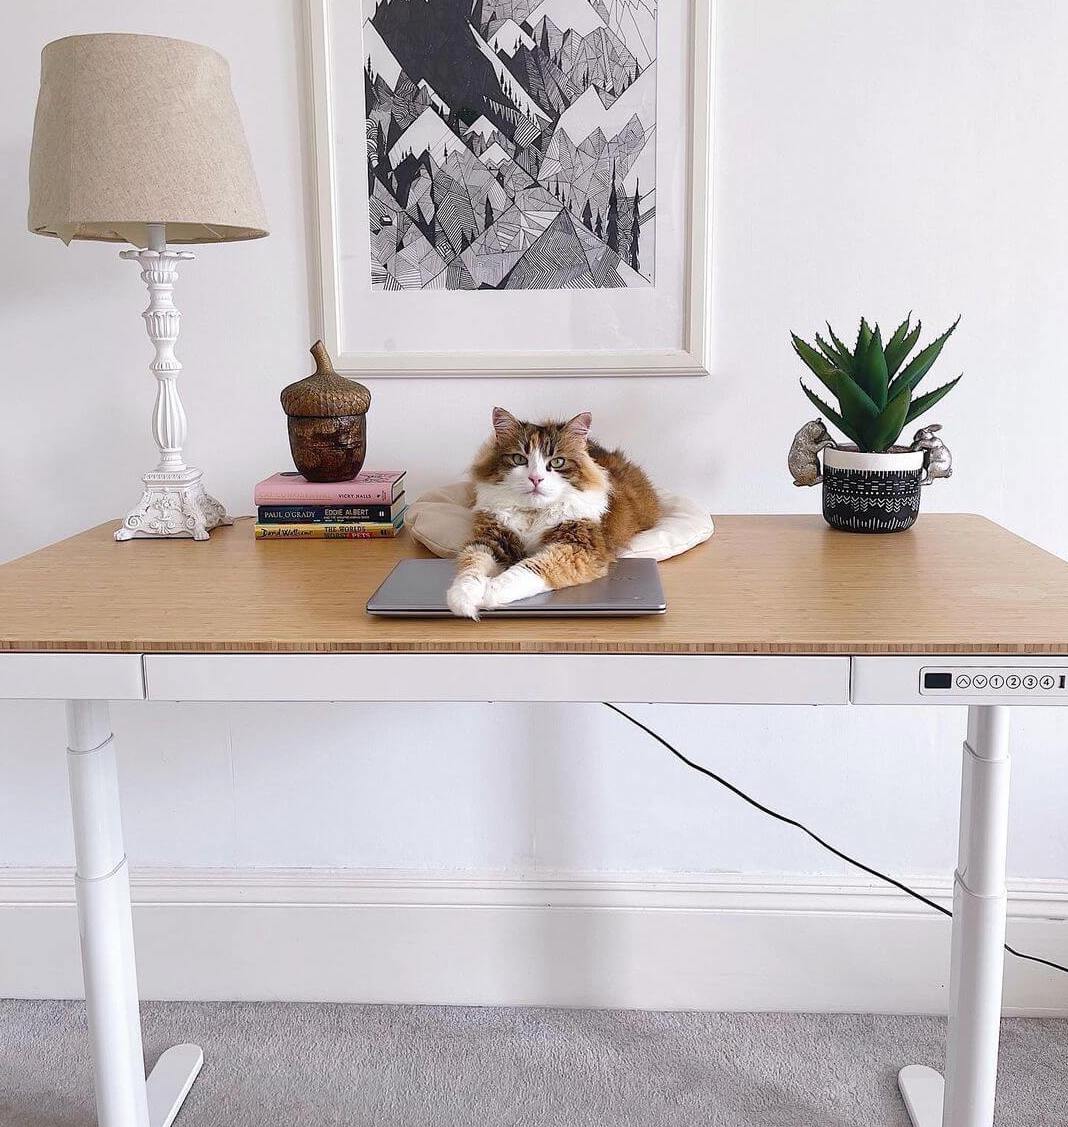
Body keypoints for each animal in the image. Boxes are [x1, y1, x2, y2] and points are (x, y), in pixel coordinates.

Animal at [441, 407, 657, 622]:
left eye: (558, 462)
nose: (535, 478)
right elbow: (471, 566)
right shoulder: (492, 539)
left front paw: (489, 593)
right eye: (519, 459)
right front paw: (463, 600)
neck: (533, 512)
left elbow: (527, 568)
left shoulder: (577, 546)